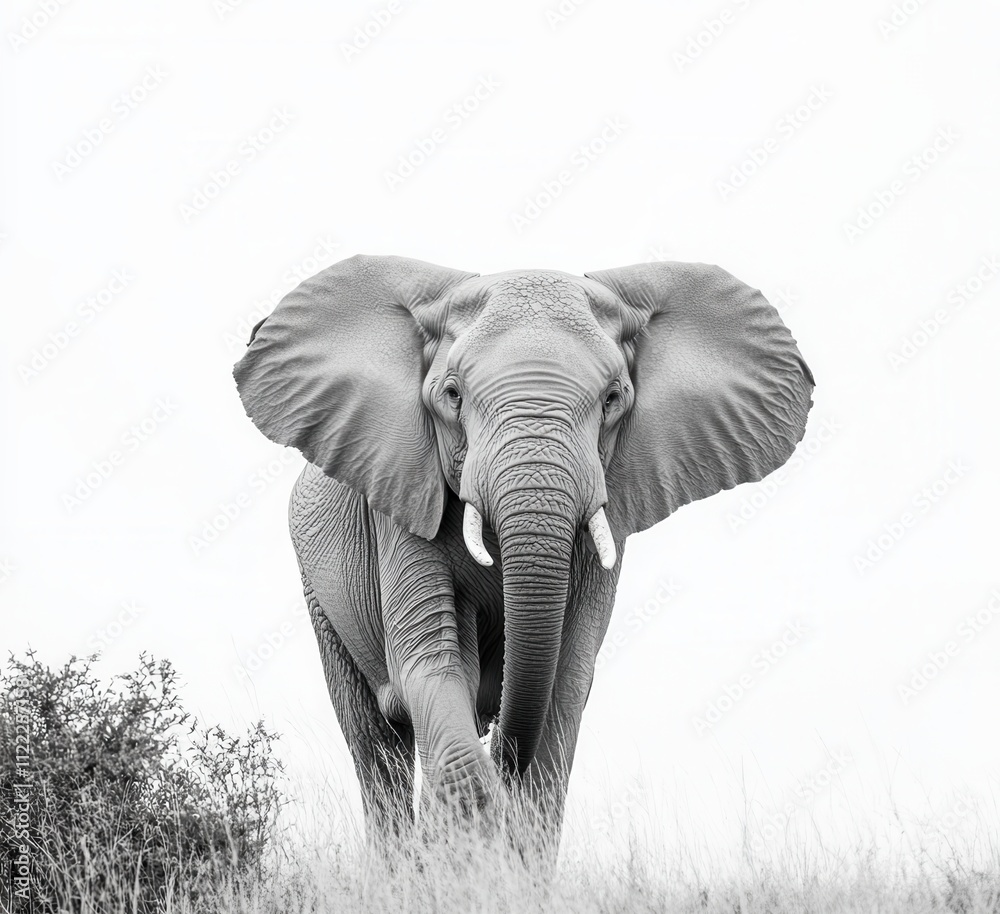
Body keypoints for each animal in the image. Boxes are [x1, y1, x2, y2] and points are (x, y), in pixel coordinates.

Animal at [233, 254, 813, 843]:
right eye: (452, 395)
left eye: (613, 399)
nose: (503, 756)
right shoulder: (400, 502)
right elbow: (434, 662)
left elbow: (566, 682)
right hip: (319, 593)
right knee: (374, 741)